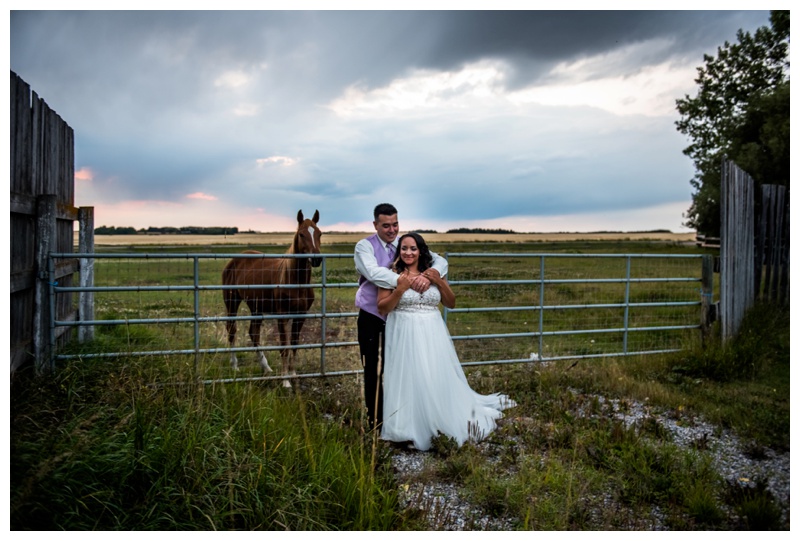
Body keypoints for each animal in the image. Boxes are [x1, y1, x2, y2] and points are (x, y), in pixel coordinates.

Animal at [222, 208, 322, 384]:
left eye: (319, 233)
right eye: (302, 234)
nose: (317, 259)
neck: (295, 280)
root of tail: (234, 261)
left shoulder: (301, 315)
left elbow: (294, 344)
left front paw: (293, 374)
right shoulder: (282, 316)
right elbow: (284, 346)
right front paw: (285, 380)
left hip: (256, 306)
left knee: (254, 333)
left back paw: (266, 367)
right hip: (232, 302)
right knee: (232, 329)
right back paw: (234, 365)